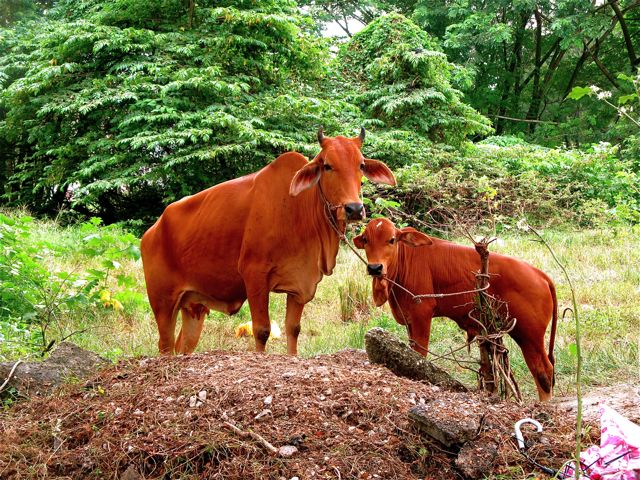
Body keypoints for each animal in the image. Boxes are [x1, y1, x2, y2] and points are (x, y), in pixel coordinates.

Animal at [141, 128, 396, 355]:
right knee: (165, 345)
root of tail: (152, 231)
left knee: (183, 345)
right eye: (327, 165)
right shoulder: (254, 275)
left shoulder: (301, 283)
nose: (354, 209)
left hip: (193, 307)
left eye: (361, 165)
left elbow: (294, 329)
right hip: (163, 304)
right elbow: (262, 330)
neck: (299, 208)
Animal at [353, 218, 558, 401]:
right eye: (366, 239)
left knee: (543, 372)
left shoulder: (422, 315)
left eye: (392, 239)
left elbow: (420, 354)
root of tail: (540, 275)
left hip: (529, 335)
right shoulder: (409, 319)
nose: (375, 268)